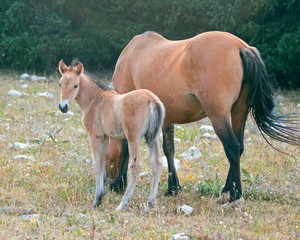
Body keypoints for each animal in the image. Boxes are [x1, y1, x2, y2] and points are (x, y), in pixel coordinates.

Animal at [57, 60, 165, 210]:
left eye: (75, 85)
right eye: (60, 84)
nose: (63, 107)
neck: (95, 100)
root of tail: (152, 100)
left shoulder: (96, 135)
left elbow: (98, 163)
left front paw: (97, 200)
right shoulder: (106, 137)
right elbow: (103, 163)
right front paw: (100, 197)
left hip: (133, 138)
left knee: (136, 165)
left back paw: (123, 204)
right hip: (152, 138)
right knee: (157, 163)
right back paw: (150, 203)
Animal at [109, 31, 298, 207]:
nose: (109, 179)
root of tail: (240, 47)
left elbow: (127, 147)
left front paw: (119, 183)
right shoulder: (166, 118)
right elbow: (169, 149)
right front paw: (173, 187)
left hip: (218, 116)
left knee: (232, 147)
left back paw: (234, 196)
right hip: (239, 112)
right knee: (239, 147)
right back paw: (226, 190)